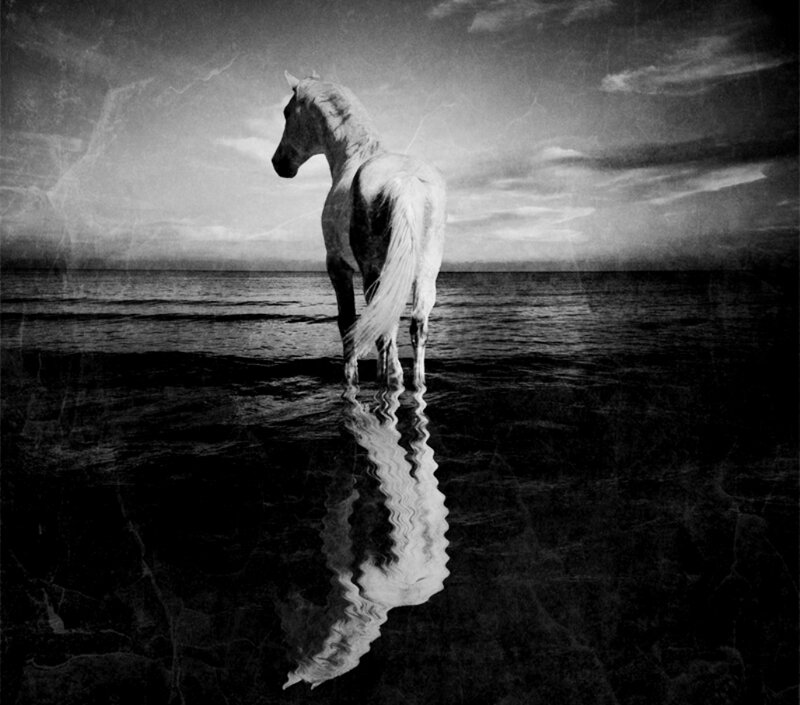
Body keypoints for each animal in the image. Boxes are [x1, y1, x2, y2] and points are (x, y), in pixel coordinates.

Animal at [271, 72, 446, 388]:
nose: (279, 163)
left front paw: (351, 379)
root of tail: (404, 180)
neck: (353, 156)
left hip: (374, 274)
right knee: (416, 328)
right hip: (425, 275)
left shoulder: (337, 266)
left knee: (387, 335)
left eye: (287, 112)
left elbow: (347, 323)